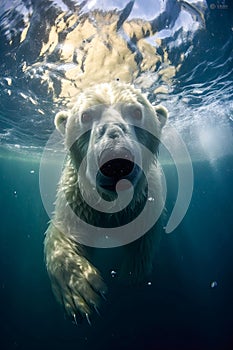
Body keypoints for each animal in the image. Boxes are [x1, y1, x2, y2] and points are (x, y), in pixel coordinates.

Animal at [43, 81, 167, 322]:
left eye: (137, 112)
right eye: (86, 116)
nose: (116, 160)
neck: (111, 203)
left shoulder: (145, 200)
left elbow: (144, 237)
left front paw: (129, 277)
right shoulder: (78, 197)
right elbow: (63, 233)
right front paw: (79, 290)